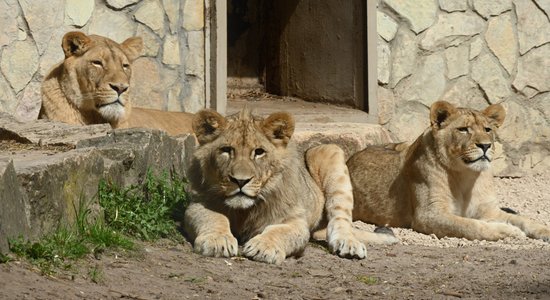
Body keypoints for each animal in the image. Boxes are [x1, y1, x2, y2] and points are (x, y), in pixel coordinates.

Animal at [184, 109, 396, 264]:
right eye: (226, 150)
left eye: (259, 152)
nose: (240, 181)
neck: (246, 211)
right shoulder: (199, 203)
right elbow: (214, 218)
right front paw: (217, 241)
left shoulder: (295, 220)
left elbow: (279, 231)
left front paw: (264, 247)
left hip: (328, 150)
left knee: (341, 219)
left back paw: (348, 244)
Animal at [350, 101, 550, 241]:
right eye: (463, 129)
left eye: (487, 129)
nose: (485, 145)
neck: (467, 176)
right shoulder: (429, 215)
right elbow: (471, 225)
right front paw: (508, 231)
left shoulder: (490, 211)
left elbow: (524, 219)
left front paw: (544, 230)